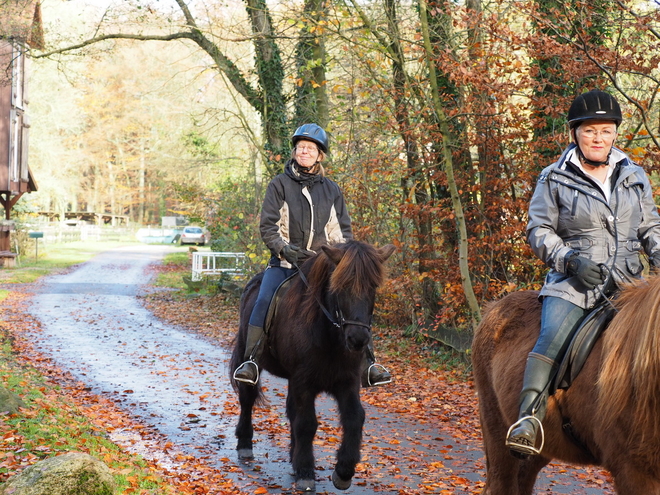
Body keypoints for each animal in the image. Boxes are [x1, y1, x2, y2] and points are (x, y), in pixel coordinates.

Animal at [229, 240, 394, 492]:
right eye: (340, 285)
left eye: (373, 286)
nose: (358, 339)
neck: (329, 337)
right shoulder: (304, 382)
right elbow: (307, 424)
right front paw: (306, 472)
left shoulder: (346, 382)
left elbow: (354, 418)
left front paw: (343, 471)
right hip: (247, 358)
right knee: (248, 399)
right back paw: (246, 444)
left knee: (291, 411)